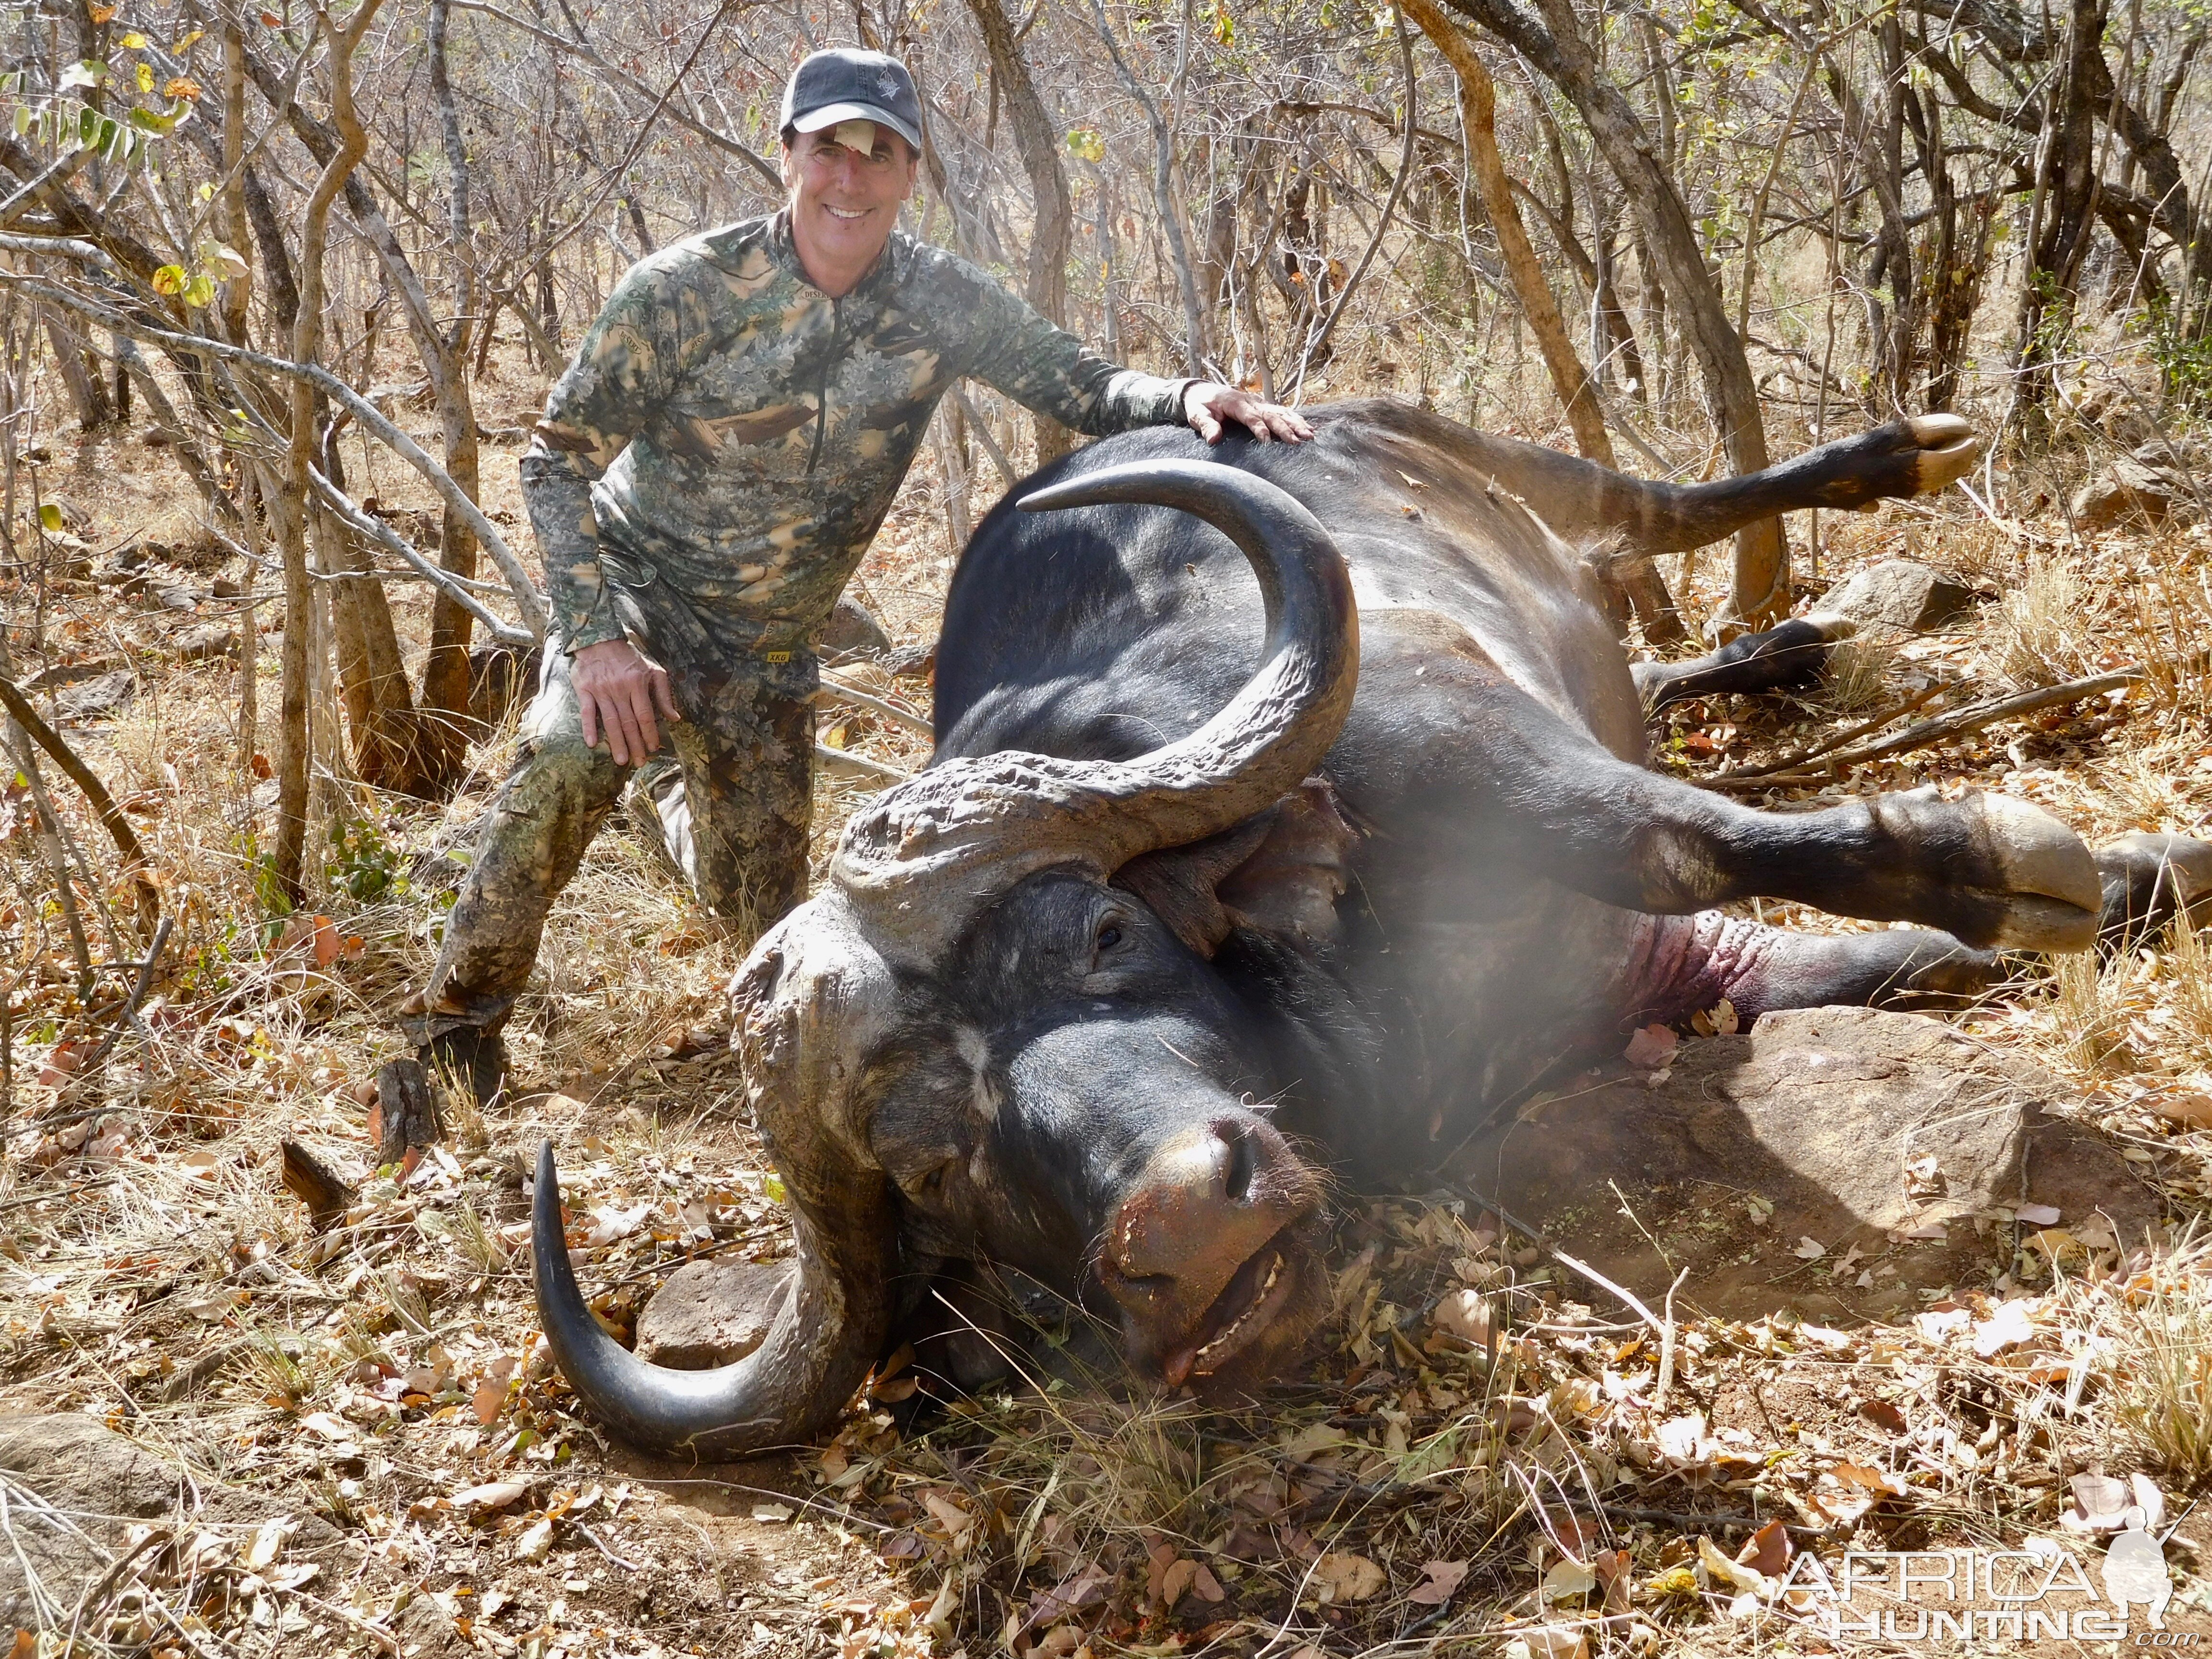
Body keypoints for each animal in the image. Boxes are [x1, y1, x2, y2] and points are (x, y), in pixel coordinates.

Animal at [526, 400, 2203, 1451]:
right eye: (934, 1158)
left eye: (1102, 938)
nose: (1180, 1223)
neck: (1370, 1002)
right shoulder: (1674, 982)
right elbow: (1867, 947)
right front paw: (2123, 870)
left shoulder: (1468, 733)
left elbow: (1676, 839)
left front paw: (2019, 857)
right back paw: (1779, 645)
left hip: (1481, 446)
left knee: (1657, 504)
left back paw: (1898, 457)